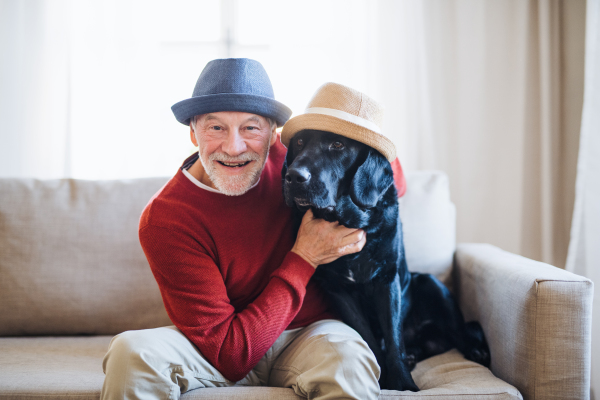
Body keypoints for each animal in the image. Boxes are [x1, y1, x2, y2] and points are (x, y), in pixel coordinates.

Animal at [282, 129, 488, 390]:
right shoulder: (337, 290)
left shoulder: (387, 281)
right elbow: (369, 338)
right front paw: (381, 377)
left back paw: (475, 351)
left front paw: (403, 383)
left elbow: (393, 340)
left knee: (464, 332)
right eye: (299, 142)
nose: (293, 176)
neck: (349, 219)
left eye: (337, 144)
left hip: (430, 283)